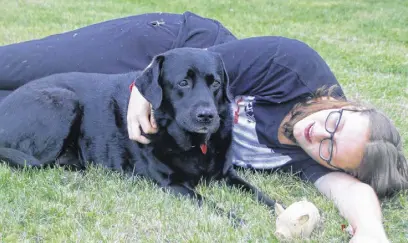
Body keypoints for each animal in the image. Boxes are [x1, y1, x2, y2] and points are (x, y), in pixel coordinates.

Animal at [0, 47, 278, 222]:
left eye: (216, 83)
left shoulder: (226, 174)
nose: (207, 116)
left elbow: (264, 196)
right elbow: (213, 206)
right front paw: (242, 221)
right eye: (183, 83)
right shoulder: (172, 185)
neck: (192, 144)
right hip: (64, 101)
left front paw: (279, 211)